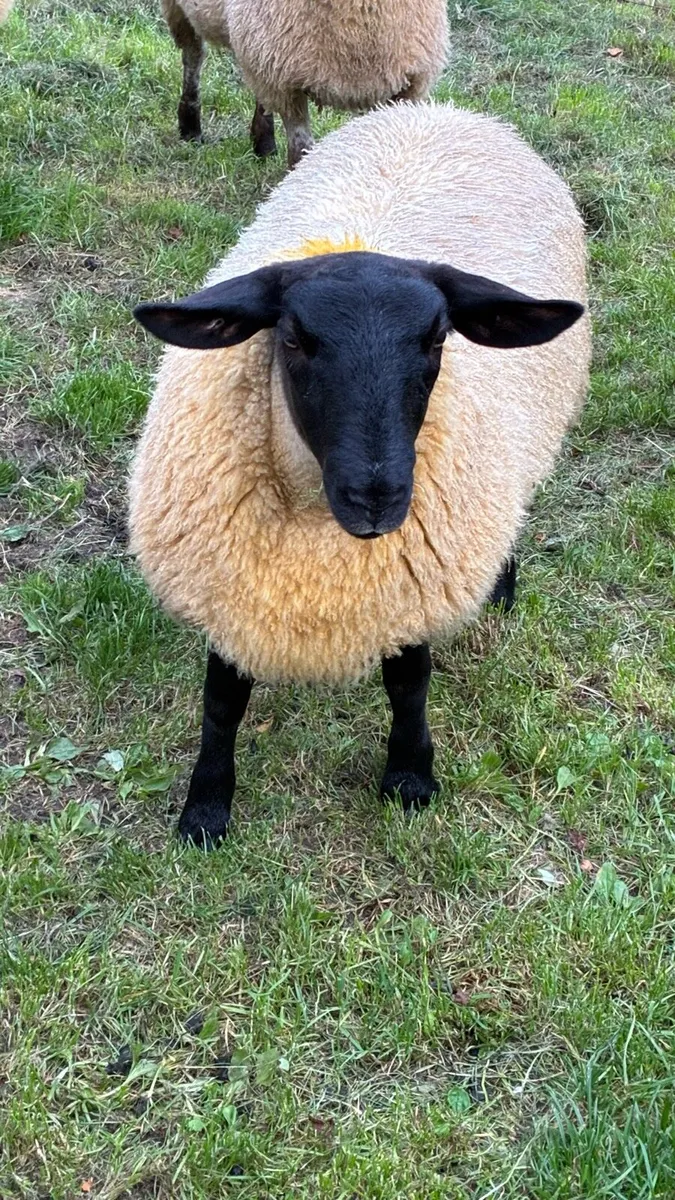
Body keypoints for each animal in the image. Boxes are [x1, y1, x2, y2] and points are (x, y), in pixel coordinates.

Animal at [130, 102, 591, 847]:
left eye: (437, 338)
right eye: (294, 340)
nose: (377, 497)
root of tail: (437, 109)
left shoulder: (409, 586)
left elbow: (409, 682)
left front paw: (408, 777)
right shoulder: (229, 584)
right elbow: (221, 702)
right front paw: (205, 808)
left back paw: (501, 586)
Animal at [161, 0, 448, 165]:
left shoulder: (411, 85)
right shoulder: (288, 85)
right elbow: (300, 151)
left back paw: (263, 142)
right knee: (193, 54)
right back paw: (190, 125)